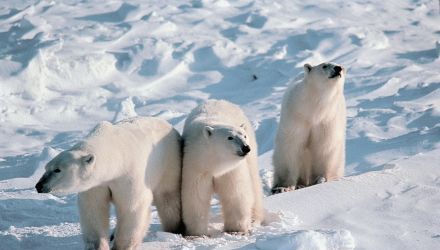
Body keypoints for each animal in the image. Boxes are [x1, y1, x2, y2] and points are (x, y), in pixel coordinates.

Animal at [34, 117, 184, 250]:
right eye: (46, 168)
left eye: (57, 170)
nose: (39, 186)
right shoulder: (96, 184)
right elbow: (94, 208)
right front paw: (97, 246)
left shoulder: (128, 175)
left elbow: (132, 207)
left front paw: (121, 247)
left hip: (168, 163)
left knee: (168, 198)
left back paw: (173, 229)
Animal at [180, 99, 262, 236]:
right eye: (230, 137)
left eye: (244, 136)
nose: (245, 147)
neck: (215, 163)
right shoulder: (196, 166)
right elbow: (196, 197)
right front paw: (196, 233)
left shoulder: (230, 171)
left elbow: (235, 193)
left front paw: (236, 229)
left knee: (254, 182)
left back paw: (256, 217)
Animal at [272, 62, 348, 193]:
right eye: (324, 66)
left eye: (340, 66)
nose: (338, 68)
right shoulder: (297, 116)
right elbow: (292, 147)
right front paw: (285, 187)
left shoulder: (327, 121)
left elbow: (324, 147)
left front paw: (320, 179)